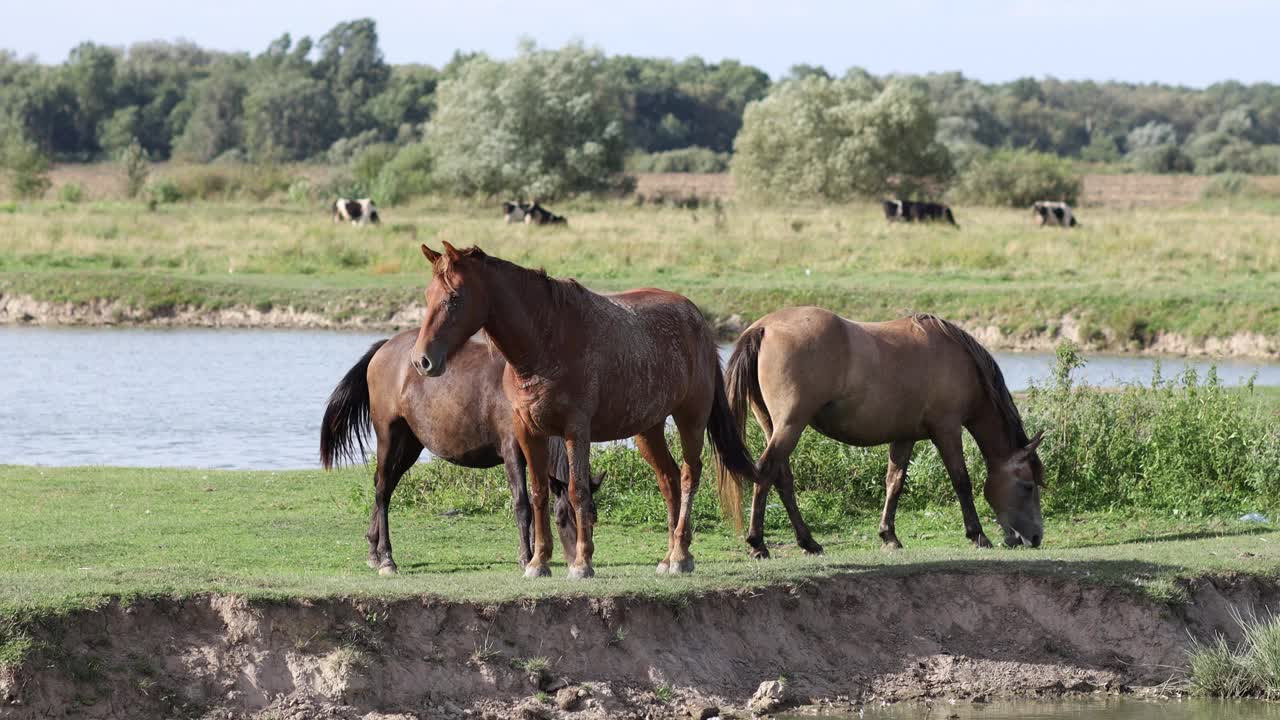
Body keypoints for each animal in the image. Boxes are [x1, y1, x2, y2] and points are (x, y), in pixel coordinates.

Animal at [320, 330, 599, 571]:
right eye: (563, 518)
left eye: (592, 519)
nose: (578, 561)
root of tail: (384, 348)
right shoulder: (512, 451)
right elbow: (522, 504)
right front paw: (526, 557)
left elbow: (534, 498)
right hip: (389, 435)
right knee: (381, 491)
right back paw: (387, 558)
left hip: (409, 444)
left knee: (384, 485)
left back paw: (373, 551)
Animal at [409, 240, 752, 576]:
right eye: (428, 295)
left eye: (454, 297)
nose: (421, 360)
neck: (545, 341)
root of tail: (697, 319)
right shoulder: (527, 431)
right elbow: (538, 493)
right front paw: (538, 562)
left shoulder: (576, 430)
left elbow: (578, 492)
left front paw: (582, 562)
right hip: (648, 429)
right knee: (668, 481)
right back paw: (669, 558)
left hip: (690, 417)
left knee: (689, 475)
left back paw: (680, 555)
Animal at [716, 303, 1044, 556]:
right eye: (1028, 486)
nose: (1036, 537)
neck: (957, 358)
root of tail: (763, 327)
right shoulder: (947, 429)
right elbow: (961, 481)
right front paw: (978, 535)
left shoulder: (905, 436)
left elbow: (894, 482)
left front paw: (889, 536)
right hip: (790, 425)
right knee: (766, 471)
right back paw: (758, 543)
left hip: (773, 425)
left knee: (781, 477)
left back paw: (808, 542)